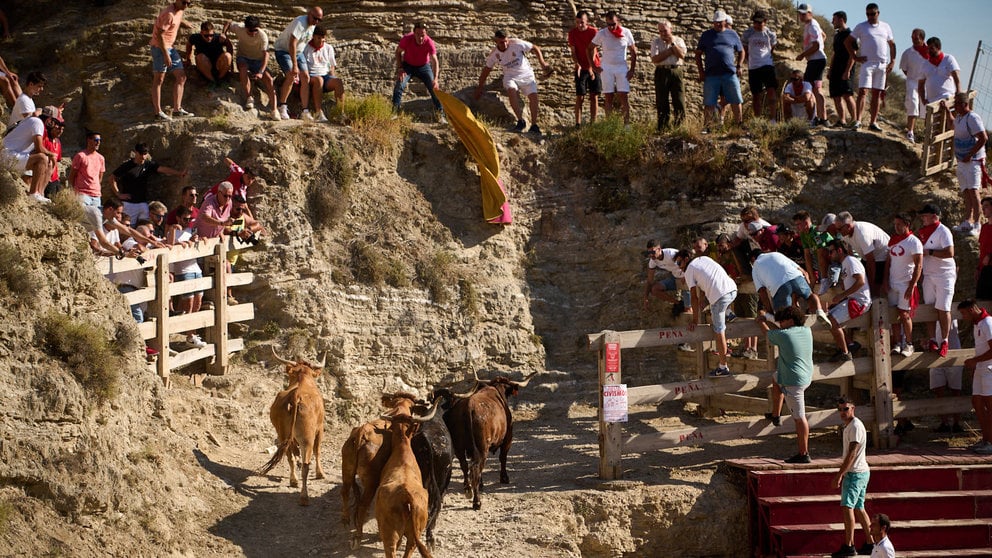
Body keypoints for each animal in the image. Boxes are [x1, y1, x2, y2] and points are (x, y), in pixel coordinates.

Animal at [258, 348, 328, 506]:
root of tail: (296, 395)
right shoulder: (320, 429)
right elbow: (318, 451)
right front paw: (320, 473)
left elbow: (294, 456)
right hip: (307, 438)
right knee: (306, 463)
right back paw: (304, 497)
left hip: (282, 434)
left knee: (290, 456)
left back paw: (293, 480)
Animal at [434, 372, 540, 512]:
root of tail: (468, 406)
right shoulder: (508, 439)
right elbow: (503, 458)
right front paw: (504, 478)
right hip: (482, 448)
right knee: (475, 470)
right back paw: (477, 502)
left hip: (459, 448)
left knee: (466, 466)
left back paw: (468, 489)